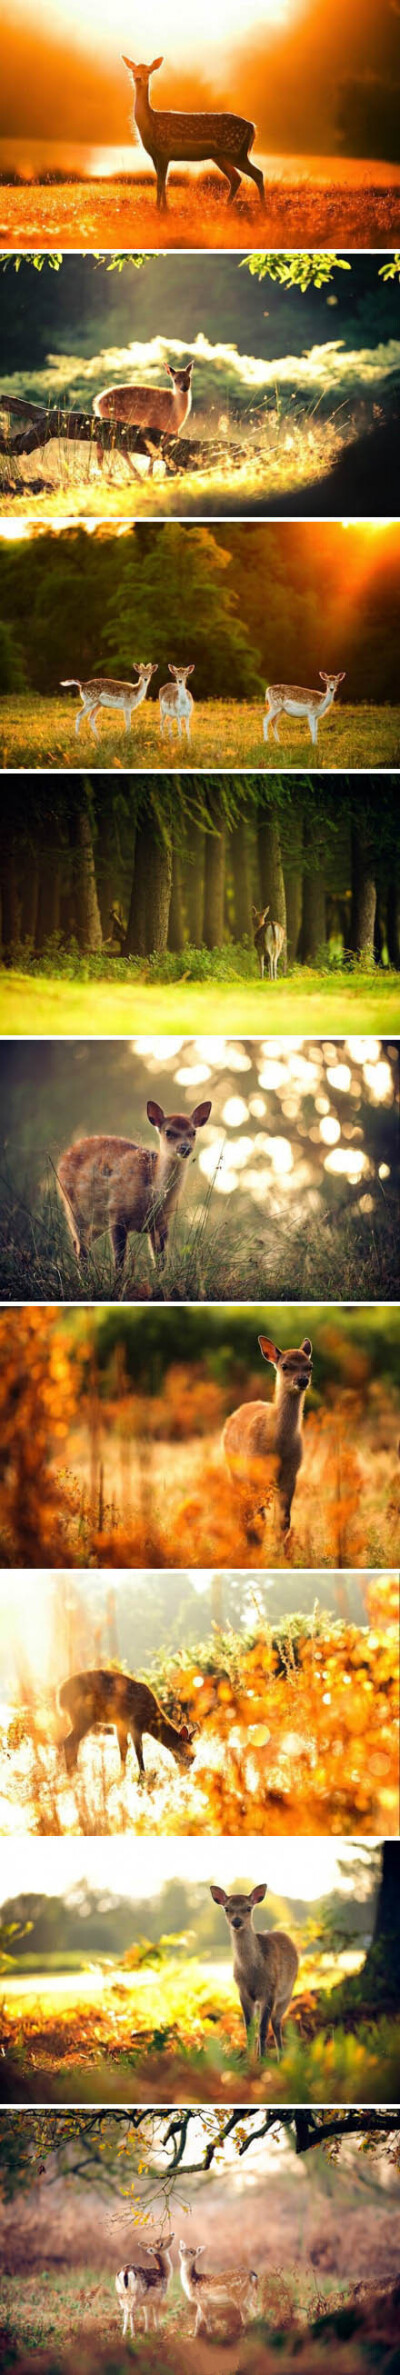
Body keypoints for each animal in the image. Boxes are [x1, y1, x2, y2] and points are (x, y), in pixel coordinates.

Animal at [57, 1097, 211, 1273]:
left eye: (193, 1132)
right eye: (168, 1132)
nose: (185, 1147)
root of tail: (63, 1158)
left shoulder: (161, 1222)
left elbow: (160, 1261)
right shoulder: (116, 1212)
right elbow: (119, 1261)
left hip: (96, 1221)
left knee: (82, 1244)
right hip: (73, 1207)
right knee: (80, 1247)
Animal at [57, 1662, 195, 1776]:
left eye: (194, 1758)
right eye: (189, 1756)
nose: (186, 1774)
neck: (150, 1721)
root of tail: (60, 1696)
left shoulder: (120, 1725)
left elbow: (123, 1749)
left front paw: (122, 1776)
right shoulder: (135, 1724)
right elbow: (139, 1751)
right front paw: (142, 1777)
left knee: (72, 1742)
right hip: (83, 1716)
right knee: (69, 1741)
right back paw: (74, 1774)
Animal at [122, 56, 265, 212]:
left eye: (148, 71)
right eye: (133, 70)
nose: (138, 78)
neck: (149, 124)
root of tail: (252, 127)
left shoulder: (164, 151)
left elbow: (161, 183)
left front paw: (160, 208)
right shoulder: (155, 155)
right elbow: (161, 182)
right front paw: (163, 207)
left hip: (235, 152)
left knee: (257, 173)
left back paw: (264, 207)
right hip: (221, 156)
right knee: (236, 178)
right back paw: (226, 205)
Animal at [210, 1881, 298, 2052]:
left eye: (248, 1908)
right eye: (227, 1908)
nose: (237, 1922)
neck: (253, 1973)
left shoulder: (270, 1990)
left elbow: (263, 2029)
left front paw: (262, 2057)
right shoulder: (243, 1992)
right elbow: (249, 2029)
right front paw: (249, 2058)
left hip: (287, 1991)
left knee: (276, 2022)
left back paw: (281, 2055)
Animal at [221, 1330, 311, 1548]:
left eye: (310, 1366)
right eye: (285, 1365)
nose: (302, 1380)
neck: (278, 1445)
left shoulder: (291, 1473)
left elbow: (283, 1521)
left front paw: (279, 1551)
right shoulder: (254, 1472)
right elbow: (260, 1516)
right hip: (235, 1470)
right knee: (244, 1509)